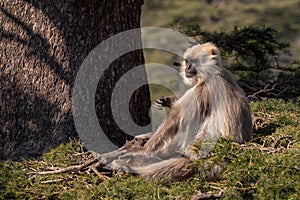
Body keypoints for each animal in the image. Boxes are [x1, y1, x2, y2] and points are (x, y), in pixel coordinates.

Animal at [99, 42, 253, 180]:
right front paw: (167, 100)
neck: (214, 73)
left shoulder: (205, 88)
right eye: (187, 62)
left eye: (193, 62)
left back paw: (131, 168)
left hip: (204, 157)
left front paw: (141, 151)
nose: (187, 68)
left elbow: (177, 118)